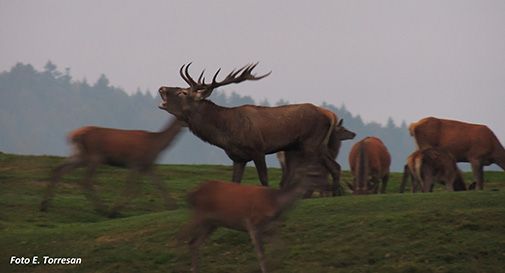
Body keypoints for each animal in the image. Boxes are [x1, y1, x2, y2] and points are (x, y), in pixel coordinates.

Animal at [40, 118, 183, 216]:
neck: (156, 144)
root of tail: (72, 136)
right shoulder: (134, 163)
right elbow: (132, 188)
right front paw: (114, 210)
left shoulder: (148, 166)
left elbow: (160, 185)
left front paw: (172, 207)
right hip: (94, 156)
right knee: (86, 180)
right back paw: (102, 209)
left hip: (80, 156)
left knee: (59, 169)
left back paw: (45, 205)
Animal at [158, 62, 342, 192]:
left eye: (183, 92)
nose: (161, 88)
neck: (226, 134)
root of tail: (330, 116)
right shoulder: (237, 158)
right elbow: (234, 182)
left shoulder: (258, 149)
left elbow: (264, 180)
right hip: (314, 145)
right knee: (334, 166)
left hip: (311, 142)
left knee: (329, 167)